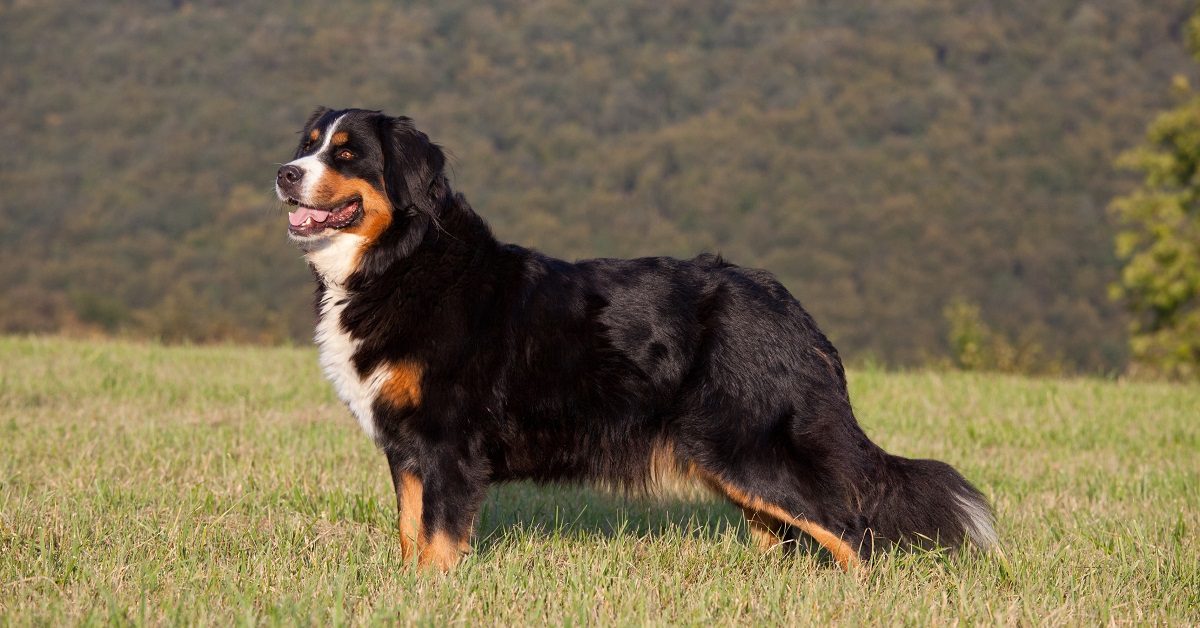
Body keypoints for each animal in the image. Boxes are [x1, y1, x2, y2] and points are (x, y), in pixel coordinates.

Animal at [276, 109, 998, 573]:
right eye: (308, 144)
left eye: (346, 155)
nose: (284, 172)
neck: (402, 259)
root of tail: (785, 303)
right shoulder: (407, 446)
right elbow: (409, 530)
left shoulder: (449, 442)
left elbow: (438, 537)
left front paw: (432, 593)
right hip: (730, 457)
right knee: (784, 533)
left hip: (746, 445)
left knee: (849, 529)